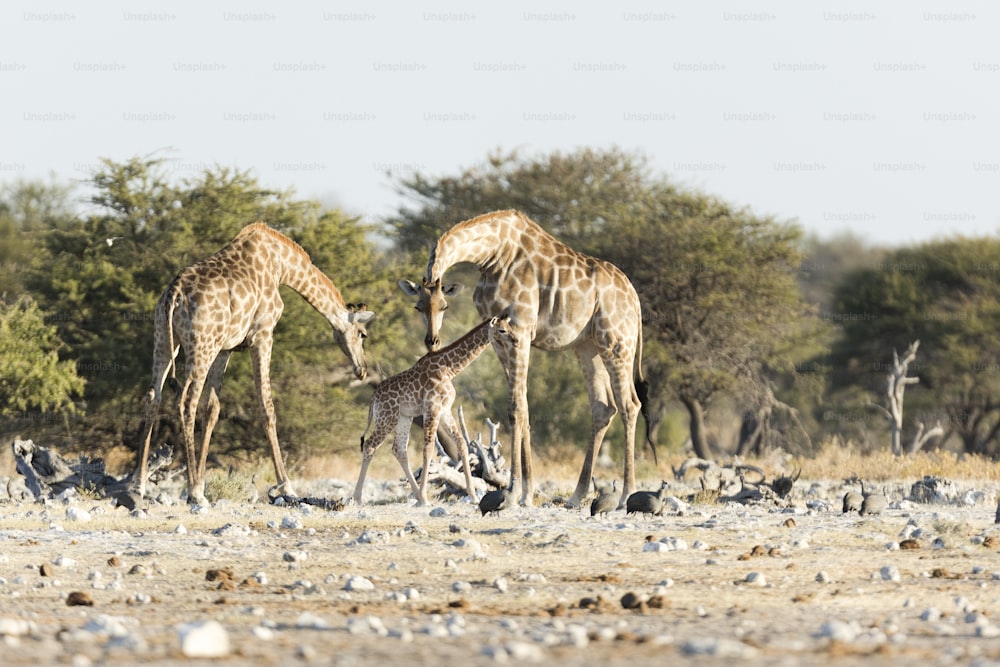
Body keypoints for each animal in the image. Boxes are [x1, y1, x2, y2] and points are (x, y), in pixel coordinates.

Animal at [137, 222, 376, 504]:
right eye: (363, 334)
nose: (362, 370)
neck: (281, 266)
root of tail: (174, 294)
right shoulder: (262, 334)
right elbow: (266, 406)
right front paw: (286, 486)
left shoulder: (226, 347)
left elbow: (213, 408)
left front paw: (203, 483)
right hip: (201, 345)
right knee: (186, 402)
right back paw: (193, 492)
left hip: (165, 339)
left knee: (153, 397)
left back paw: (139, 484)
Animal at [352, 314, 520, 506]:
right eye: (502, 330)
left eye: (510, 327)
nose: (516, 341)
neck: (449, 368)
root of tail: (373, 398)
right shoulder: (432, 407)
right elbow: (429, 448)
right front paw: (425, 497)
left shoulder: (445, 410)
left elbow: (461, 443)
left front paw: (473, 495)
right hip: (387, 417)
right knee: (370, 445)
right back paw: (357, 497)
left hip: (403, 418)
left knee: (398, 449)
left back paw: (416, 494)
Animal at [398, 211, 656, 508]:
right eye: (418, 307)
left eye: (444, 306)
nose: (432, 341)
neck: (491, 255)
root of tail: (635, 299)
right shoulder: (499, 338)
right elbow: (522, 406)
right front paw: (526, 492)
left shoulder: (519, 331)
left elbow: (514, 407)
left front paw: (512, 491)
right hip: (587, 346)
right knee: (603, 407)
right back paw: (576, 496)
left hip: (616, 342)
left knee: (629, 405)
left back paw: (626, 495)